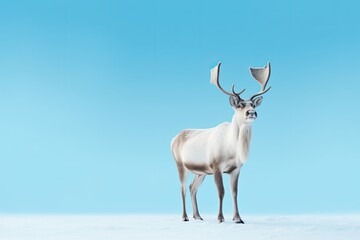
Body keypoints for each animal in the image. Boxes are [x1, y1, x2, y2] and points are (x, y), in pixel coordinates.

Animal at [171, 62, 270, 223]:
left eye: (252, 105)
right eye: (240, 105)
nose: (252, 113)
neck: (233, 150)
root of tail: (173, 139)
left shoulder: (236, 168)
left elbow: (234, 192)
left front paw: (238, 218)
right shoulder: (216, 166)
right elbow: (221, 192)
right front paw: (220, 218)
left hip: (201, 172)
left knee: (192, 187)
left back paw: (198, 216)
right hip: (180, 164)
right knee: (183, 188)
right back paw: (185, 217)